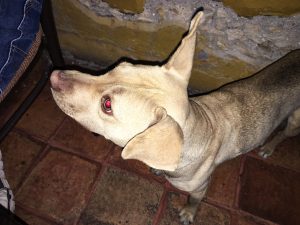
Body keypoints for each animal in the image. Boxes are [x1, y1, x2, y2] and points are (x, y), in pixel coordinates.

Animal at [49, 11, 300, 224]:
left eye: (107, 105)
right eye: (117, 66)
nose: (54, 75)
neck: (196, 125)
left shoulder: (199, 188)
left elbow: (194, 201)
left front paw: (188, 213)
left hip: (295, 121)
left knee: (284, 134)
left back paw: (269, 147)